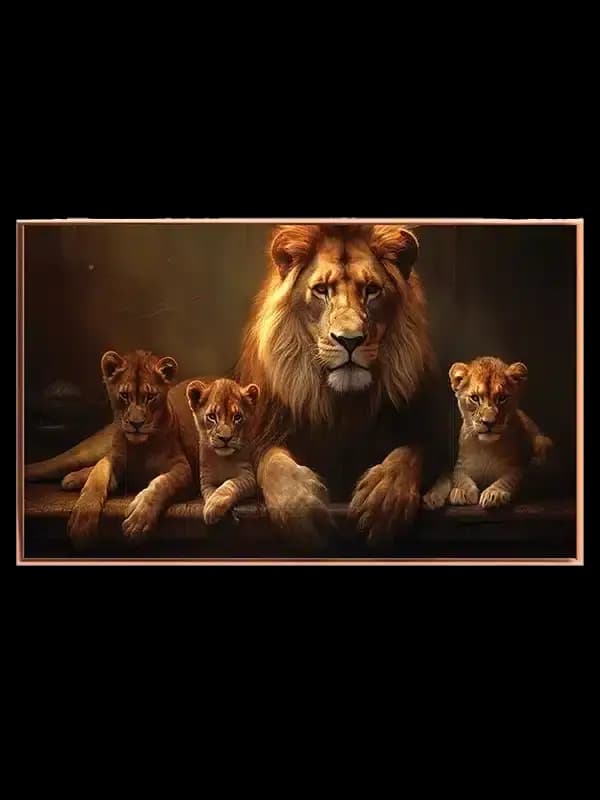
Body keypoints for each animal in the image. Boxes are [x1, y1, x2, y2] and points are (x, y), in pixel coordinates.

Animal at [186, 378, 260, 525]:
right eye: (212, 417)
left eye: (237, 417)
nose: (225, 438)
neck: (222, 460)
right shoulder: (206, 481)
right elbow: (210, 493)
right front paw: (211, 505)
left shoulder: (249, 476)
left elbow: (230, 484)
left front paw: (214, 506)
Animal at [422, 357, 553, 510]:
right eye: (474, 398)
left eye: (502, 398)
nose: (489, 422)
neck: (486, 447)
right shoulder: (461, 466)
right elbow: (459, 477)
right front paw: (462, 492)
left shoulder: (515, 467)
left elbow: (507, 480)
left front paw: (494, 494)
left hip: (543, 441)